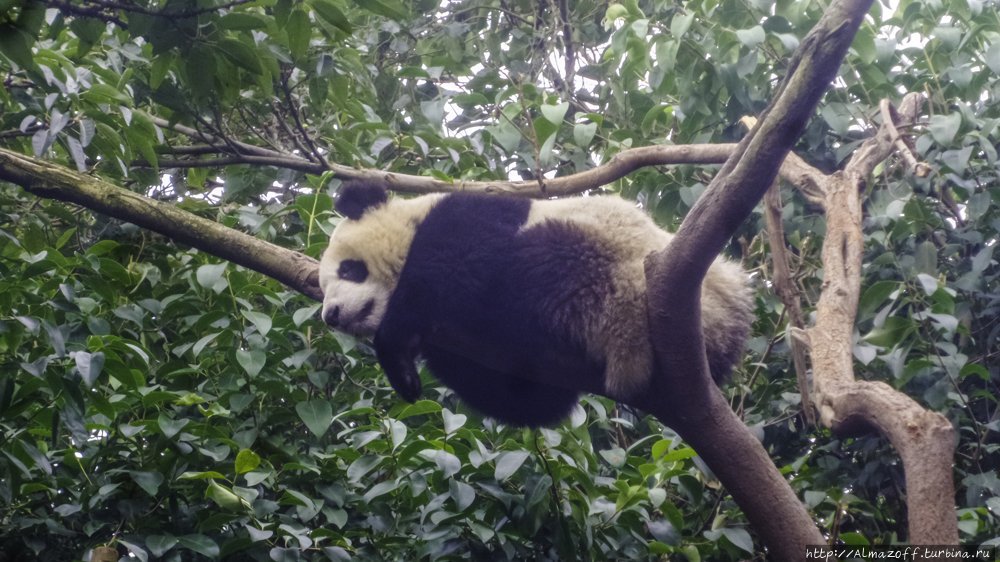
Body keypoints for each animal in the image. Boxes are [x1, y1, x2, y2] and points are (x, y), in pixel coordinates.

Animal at [320, 179, 752, 424]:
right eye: (322, 288)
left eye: (349, 270)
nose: (331, 315)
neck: (413, 219)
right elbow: (533, 402)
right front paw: (412, 373)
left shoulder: (468, 219)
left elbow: (458, 266)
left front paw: (395, 348)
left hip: (605, 278)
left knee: (538, 263)